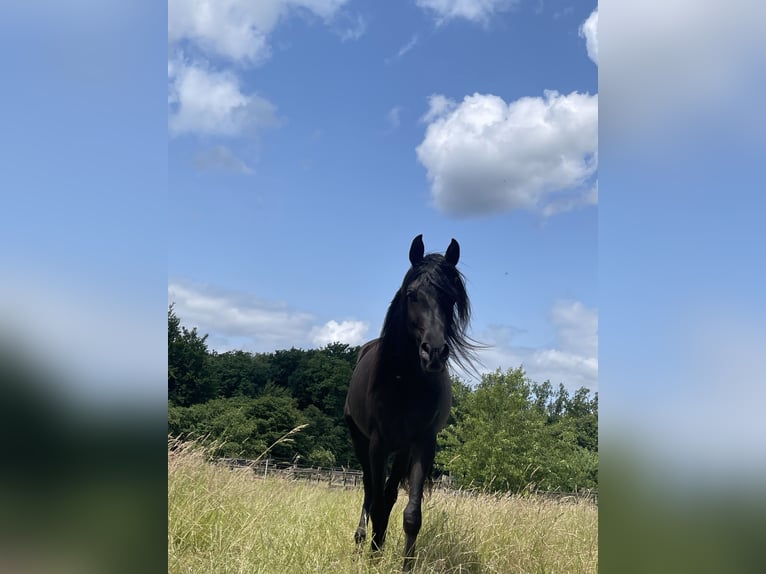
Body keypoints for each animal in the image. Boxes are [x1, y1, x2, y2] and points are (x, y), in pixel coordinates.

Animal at [344, 234, 476, 572]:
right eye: (412, 295)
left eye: (451, 299)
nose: (435, 352)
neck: (404, 382)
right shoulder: (377, 443)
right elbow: (376, 500)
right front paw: (374, 556)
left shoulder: (422, 443)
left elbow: (411, 514)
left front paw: (403, 563)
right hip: (361, 441)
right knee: (370, 492)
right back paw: (363, 541)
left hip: (401, 450)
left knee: (388, 495)